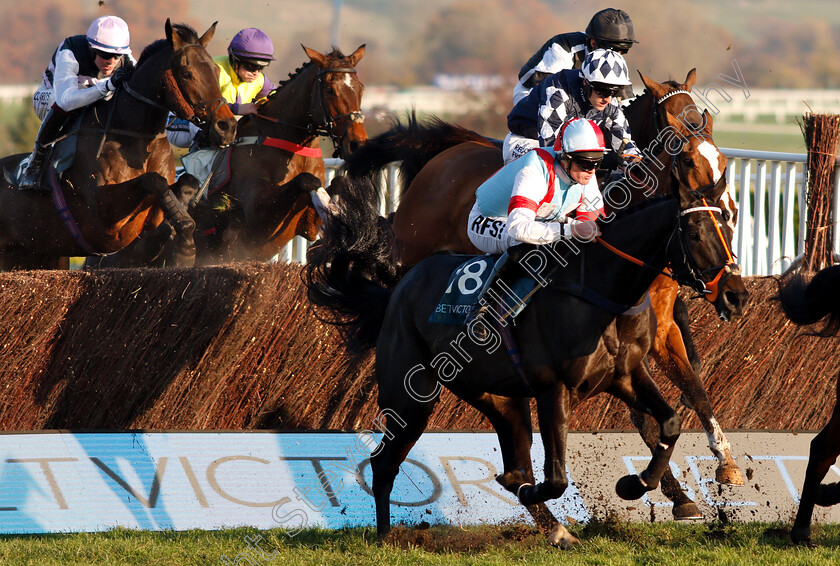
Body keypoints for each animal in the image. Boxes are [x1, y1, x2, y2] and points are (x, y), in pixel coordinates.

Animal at [0, 18, 235, 272]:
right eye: (187, 73)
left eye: (216, 70)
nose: (227, 126)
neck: (134, 136)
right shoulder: (104, 219)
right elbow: (153, 180)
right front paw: (182, 235)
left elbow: (186, 183)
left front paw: (182, 239)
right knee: (61, 103)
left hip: (43, 257)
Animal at [306, 175, 744, 548]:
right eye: (693, 233)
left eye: (728, 228)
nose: (736, 294)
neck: (603, 291)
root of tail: (399, 284)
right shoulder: (555, 389)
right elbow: (556, 478)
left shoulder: (627, 375)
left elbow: (669, 421)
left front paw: (635, 484)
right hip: (410, 397)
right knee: (384, 463)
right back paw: (385, 538)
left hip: (501, 399)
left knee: (512, 466)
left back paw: (556, 529)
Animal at [338, 70, 752, 520]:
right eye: (688, 159)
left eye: (723, 161)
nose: (728, 211)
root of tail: (445, 155)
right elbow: (646, 412)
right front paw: (668, 486)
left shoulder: (657, 331)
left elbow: (694, 389)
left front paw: (719, 468)